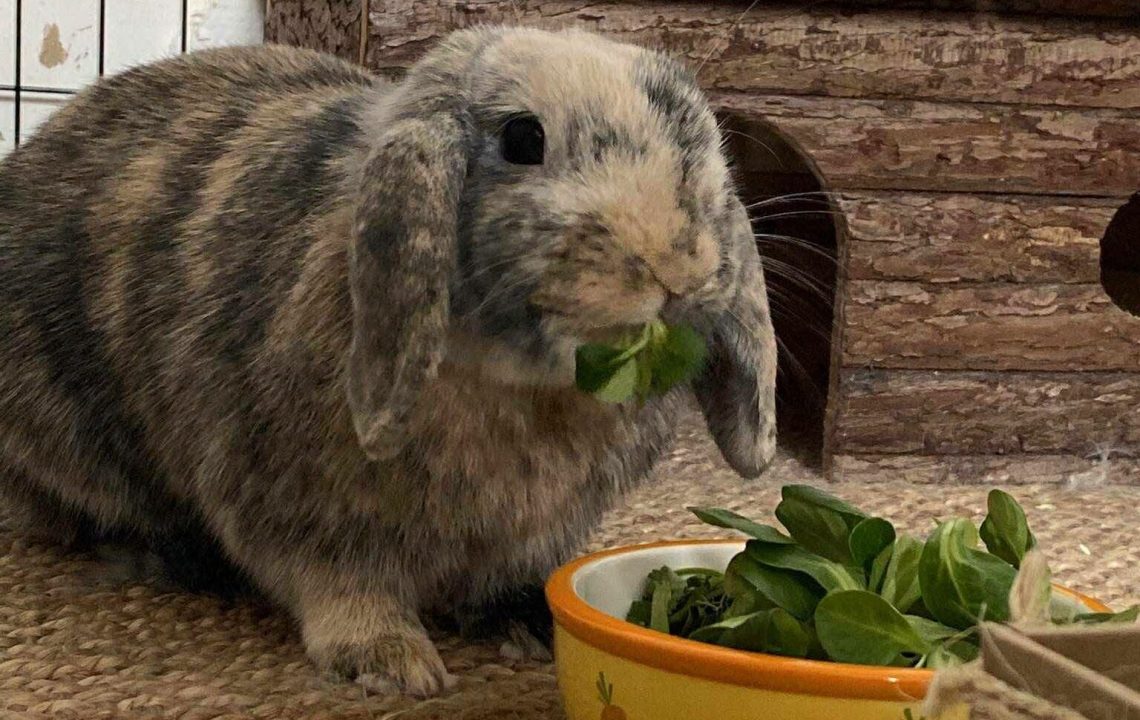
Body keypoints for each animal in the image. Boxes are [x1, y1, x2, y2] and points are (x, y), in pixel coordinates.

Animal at [0, 26, 778, 696]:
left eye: (701, 140)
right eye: (522, 138)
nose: (677, 265)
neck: (512, 382)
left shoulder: (529, 534)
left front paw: (526, 620)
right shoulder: (302, 510)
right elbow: (340, 588)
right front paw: (391, 663)